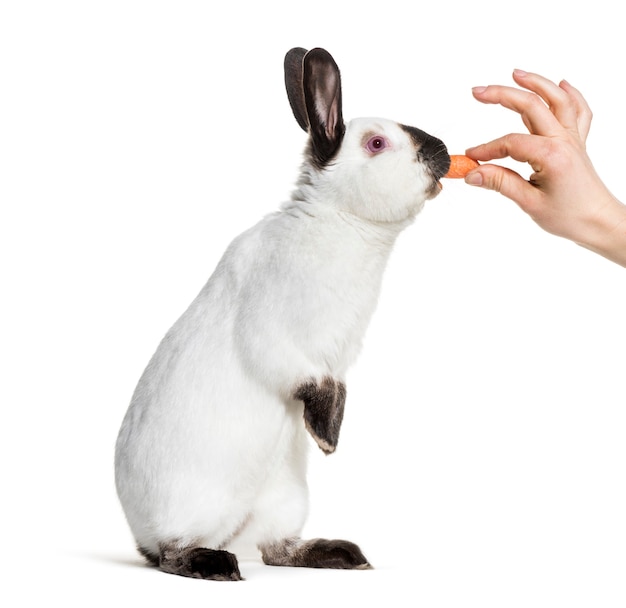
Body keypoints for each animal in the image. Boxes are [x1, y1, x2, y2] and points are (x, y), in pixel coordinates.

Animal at [114, 46, 448, 580]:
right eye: (377, 143)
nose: (443, 150)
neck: (341, 222)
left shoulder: (340, 356)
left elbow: (333, 388)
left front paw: (326, 437)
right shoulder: (276, 339)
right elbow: (311, 383)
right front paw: (328, 440)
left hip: (286, 497)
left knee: (277, 548)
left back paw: (342, 555)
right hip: (190, 507)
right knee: (171, 554)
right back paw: (216, 564)